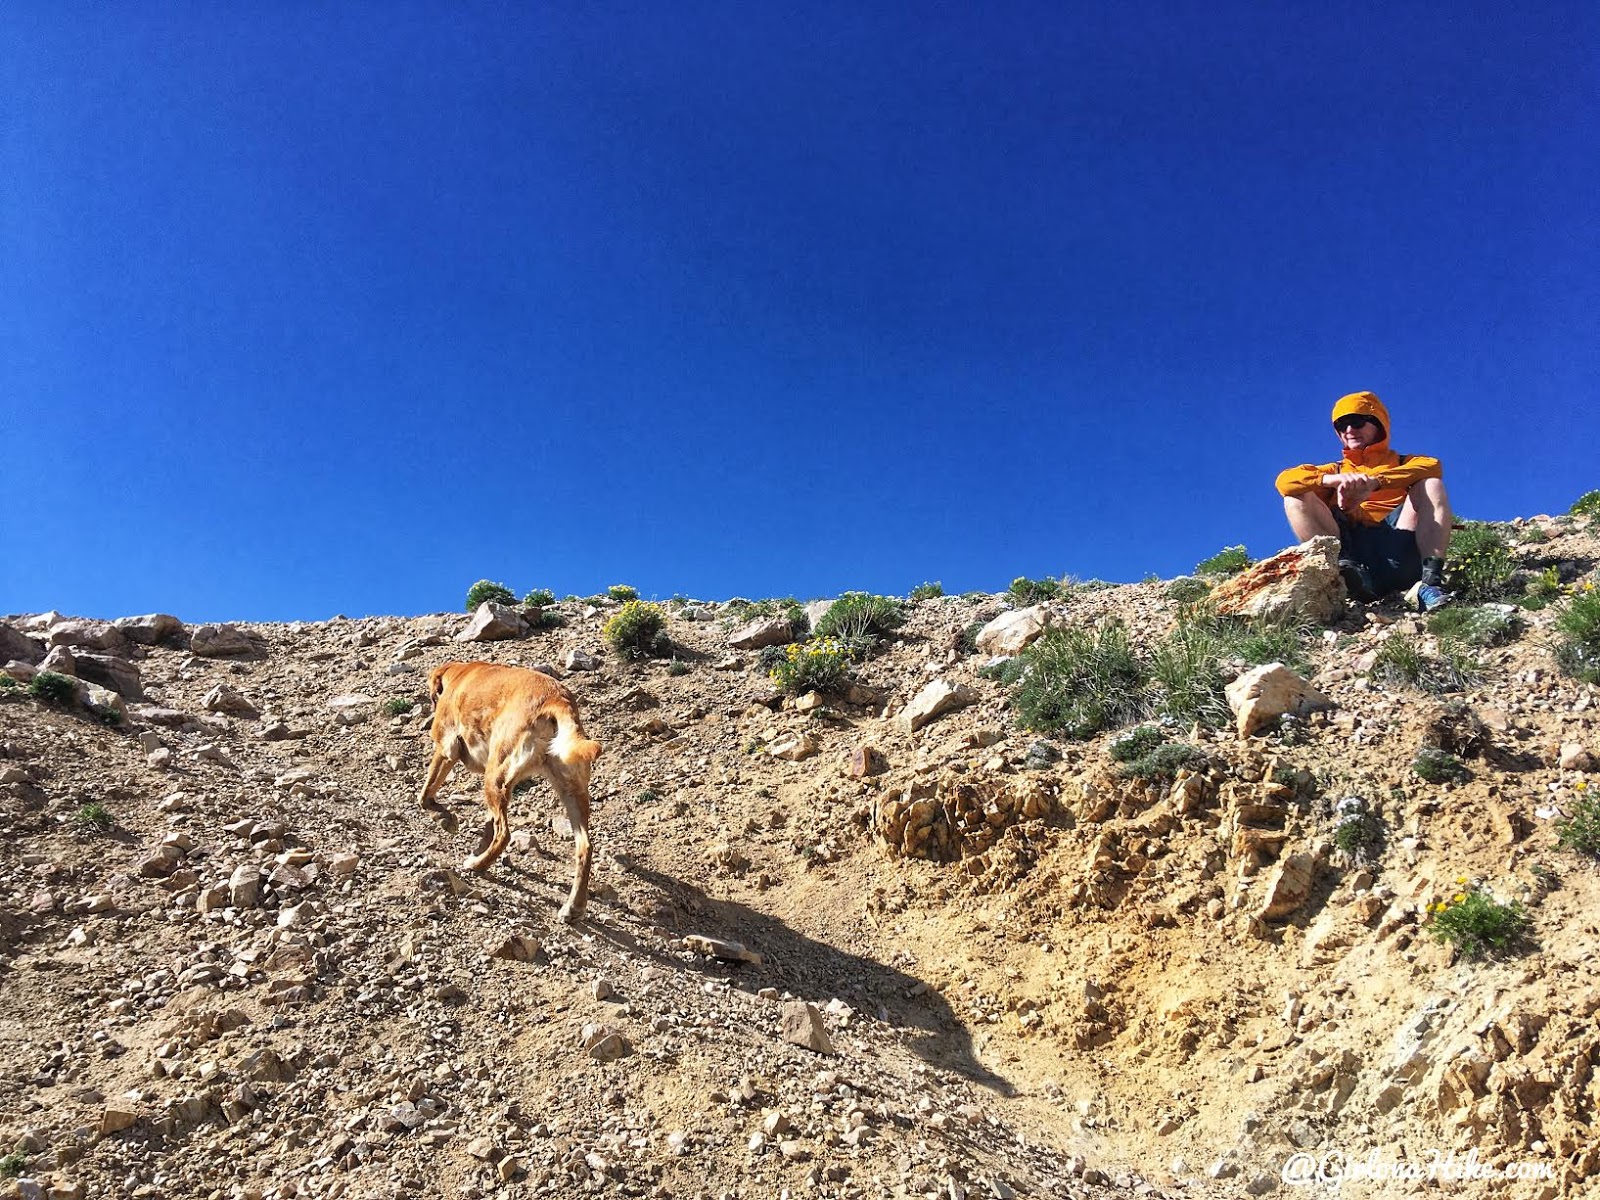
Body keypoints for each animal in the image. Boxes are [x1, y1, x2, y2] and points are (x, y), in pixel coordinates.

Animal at [419, 662, 601, 928]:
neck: (461, 674)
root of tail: (557, 699)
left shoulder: (446, 748)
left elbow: (426, 793)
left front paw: (442, 815)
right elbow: (487, 825)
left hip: (495, 776)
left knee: (504, 833)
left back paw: (478, 865)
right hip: (570, 791)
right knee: (585, 848)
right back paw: (573, 908)